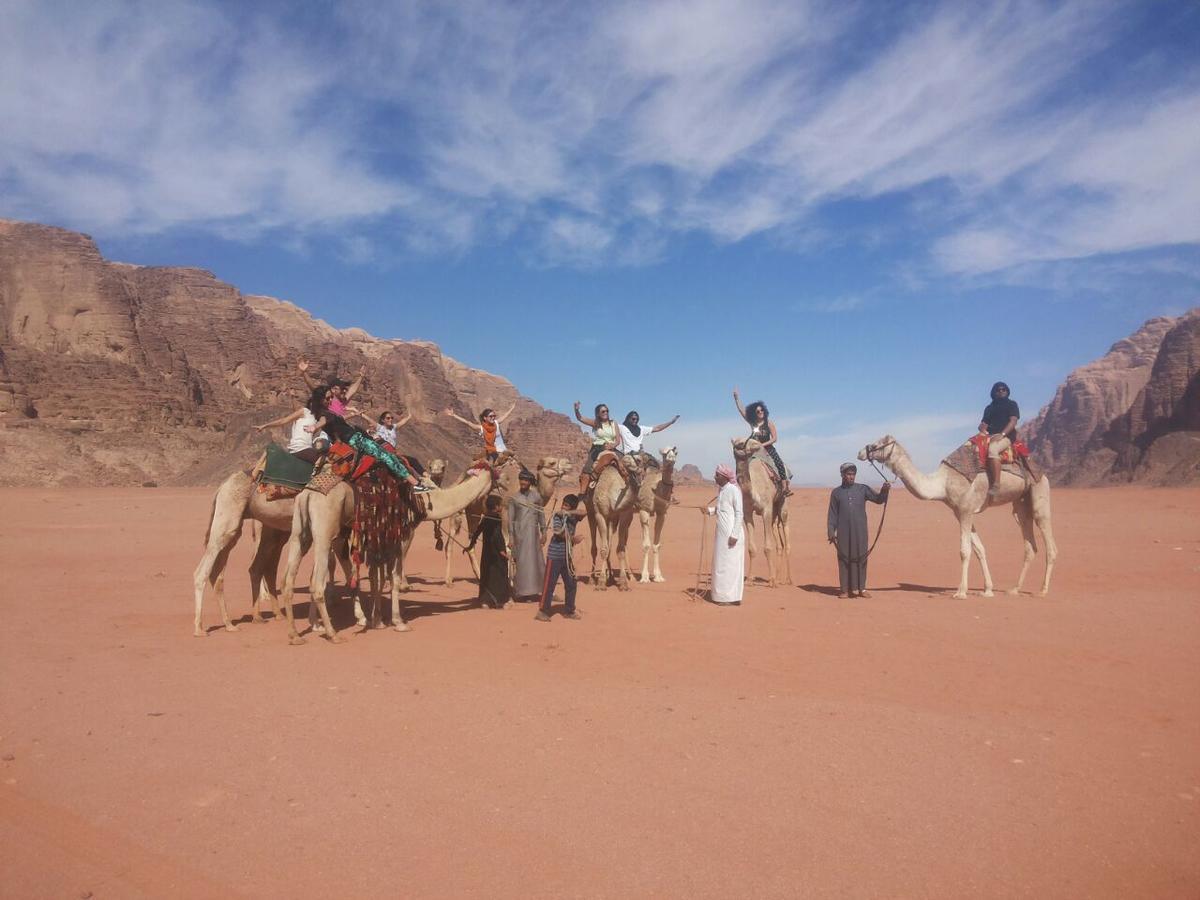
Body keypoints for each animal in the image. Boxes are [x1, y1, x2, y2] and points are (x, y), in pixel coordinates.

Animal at [724, 441, 792, 588]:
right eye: (740, 443)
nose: (758, 445)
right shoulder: (747, 513)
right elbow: (751, 548)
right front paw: (750, 579)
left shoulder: (766, 510)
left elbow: (767, 547)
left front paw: (771, 580)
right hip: (774, 512)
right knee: (778, 541)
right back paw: (778, 578)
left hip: (783, 503)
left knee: (786, 532)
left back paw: (788, 579)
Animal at [854, 434, 1060, 600]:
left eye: (878, 444)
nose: (860, 452)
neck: (942, 484)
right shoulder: (960, 512)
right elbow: (980, 549)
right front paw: (988, 590)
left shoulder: (965, 511)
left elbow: (964, 551)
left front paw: (961, 592)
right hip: (1020, 503)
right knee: (1029, 542)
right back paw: (1015, 589)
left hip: (1039, 490)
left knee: (1049, 542)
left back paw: (1042, 591)